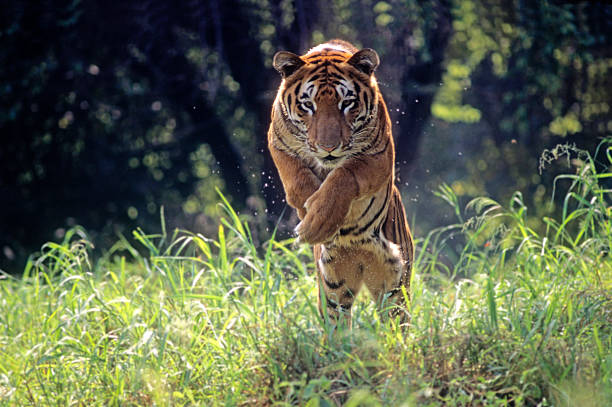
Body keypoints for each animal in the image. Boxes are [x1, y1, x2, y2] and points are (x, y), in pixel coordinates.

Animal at [266, 39, 414, 328]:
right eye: (308, 105)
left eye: (347, 103)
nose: (328, 147)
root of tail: (359, 255)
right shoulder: (277, 142)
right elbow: (297, 178)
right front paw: (308, 218)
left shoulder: (378, 156)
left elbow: (344, 176)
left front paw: (318, 222)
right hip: (334, 285)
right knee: (337, 322)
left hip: (394, 284)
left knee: (395, 321)